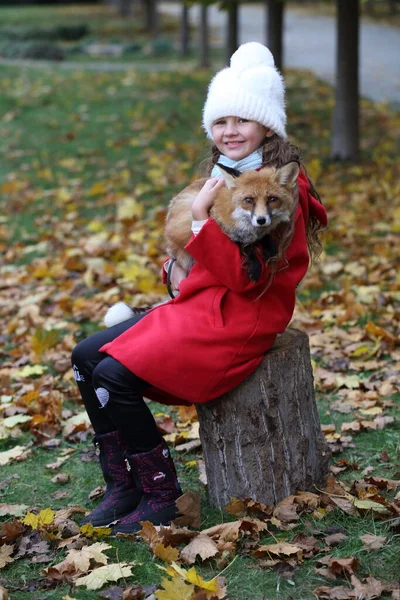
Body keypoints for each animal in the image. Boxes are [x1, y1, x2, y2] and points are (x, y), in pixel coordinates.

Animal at [165, 162, 300, 284]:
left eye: (272, 199)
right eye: (248, 200)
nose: (261, 220)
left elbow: (263, 237)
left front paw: (269, 248)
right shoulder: (220, 227)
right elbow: (245, 247)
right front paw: (254, 265)